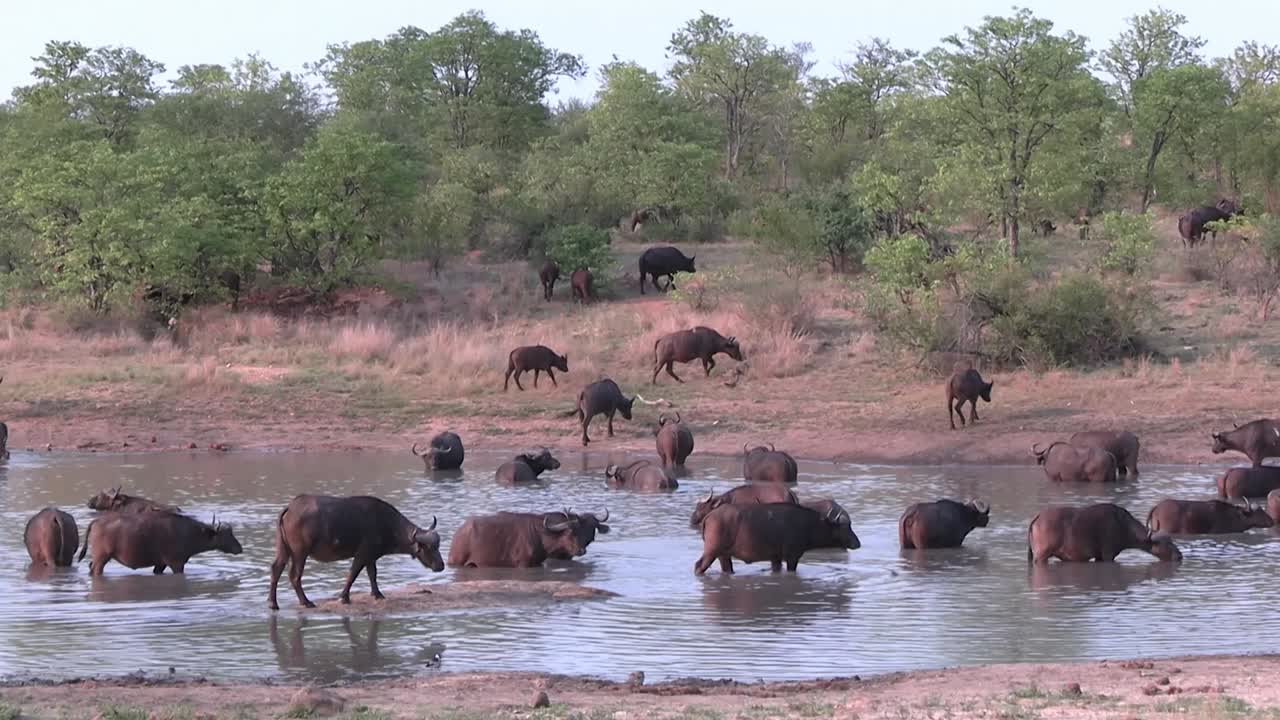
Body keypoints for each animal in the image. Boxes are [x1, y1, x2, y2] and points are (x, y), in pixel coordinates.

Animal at [80, 511, 242, 575]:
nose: (239, 548)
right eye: (227, 534)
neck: (188, 532)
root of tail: (97, 521)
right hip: (102, 557)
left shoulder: (160, 564)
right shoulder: (176, 564)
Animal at [268, 495, 443, 610]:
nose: (441, 566)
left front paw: (377, 594)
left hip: (283, 549)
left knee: (276, 569)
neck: (386, 523)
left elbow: (373, 574)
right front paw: (344, 598)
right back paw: (306, 602)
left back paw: (273, 603)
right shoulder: (362, 554)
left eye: (438, 545)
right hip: (300, 553)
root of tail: (290, 507)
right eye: (428, 547)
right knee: (294, 576)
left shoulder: (371, 557)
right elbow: (353, 574)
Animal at [448, 509, 610, 568]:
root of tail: (459, 533)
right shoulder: (523, 564)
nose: (581, 551)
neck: (542, 535)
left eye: (591, 529)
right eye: (570, 532)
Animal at [693, 502, 860, 575]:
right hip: (711, 552)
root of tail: (710, 515)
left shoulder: (776, 558)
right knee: (698, 566)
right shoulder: (792, 557)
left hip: (723, 555)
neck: (810, 524)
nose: (857, 543)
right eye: (845, 527)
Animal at [1027, 503, 1182, 563]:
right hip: (1041, 556)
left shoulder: (1099, 557)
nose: (1180, 555)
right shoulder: (1108, 555)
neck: (1122, 525)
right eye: (1166, 544)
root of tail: (1038, 517)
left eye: (1172, 541)